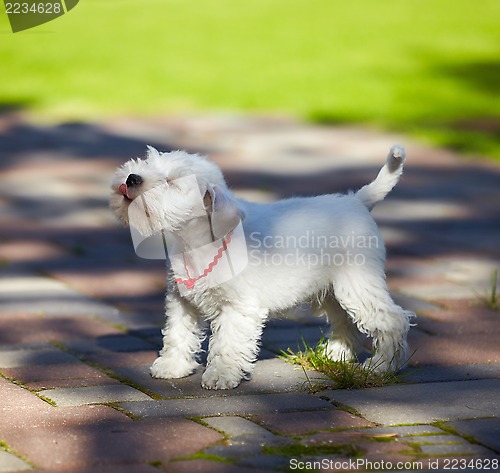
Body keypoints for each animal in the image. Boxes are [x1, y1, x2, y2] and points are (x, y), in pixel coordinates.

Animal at [111, 146, 416, 390]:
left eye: (172, 182)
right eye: (148, 161)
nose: (132, 178)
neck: (196, 243)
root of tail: (357, 201)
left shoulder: (238, 308)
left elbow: (227, 343)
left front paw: (220, 376)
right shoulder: (181, 301)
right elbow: (177, 334)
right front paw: (172, 367)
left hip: (356, 284)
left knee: (393, 321)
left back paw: (382, 366)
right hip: (331, 290)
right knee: (344, 321)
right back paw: (336, 354)